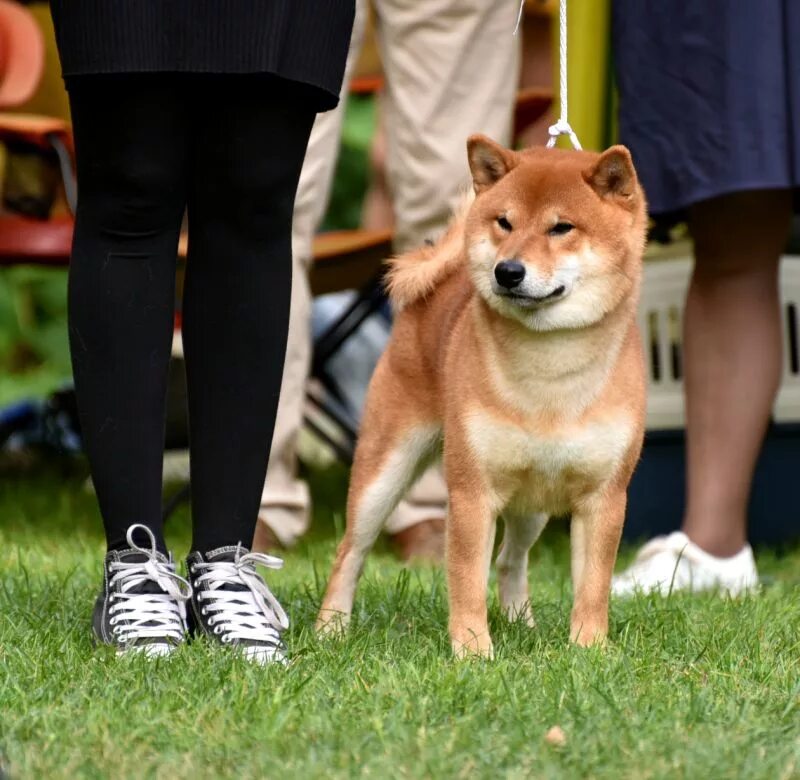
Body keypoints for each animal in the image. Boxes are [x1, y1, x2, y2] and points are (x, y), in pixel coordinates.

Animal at [316, 137, 648, 656]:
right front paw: (473, 652)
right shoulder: (471, 494)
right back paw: (330, 628)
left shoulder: (604, 498)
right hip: (384, 472)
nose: (507, 271)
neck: (550, 369)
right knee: (350, 551)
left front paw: (589, 649)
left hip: (534, 500)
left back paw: (520, 623)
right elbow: (467, 580)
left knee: (512, 559)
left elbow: (593, 587)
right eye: (504, 222)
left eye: (561, 227)